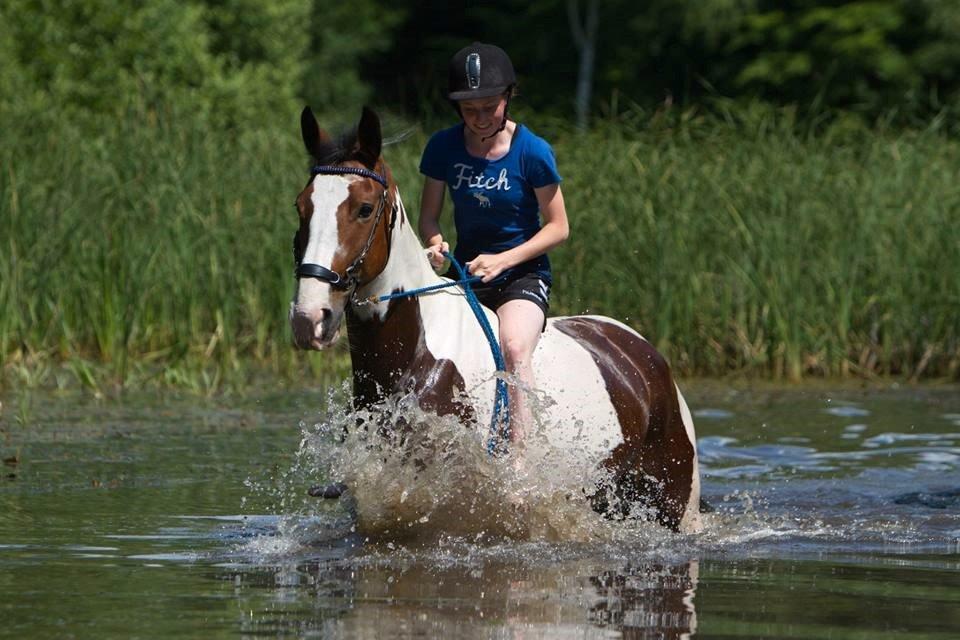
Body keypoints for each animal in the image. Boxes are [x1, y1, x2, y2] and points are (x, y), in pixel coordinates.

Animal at [288, 106, 700, 536]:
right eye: (301, 207)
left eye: (365, 209)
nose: (309, 317)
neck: (415, 353)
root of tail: (641, 352)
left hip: (672, 503)